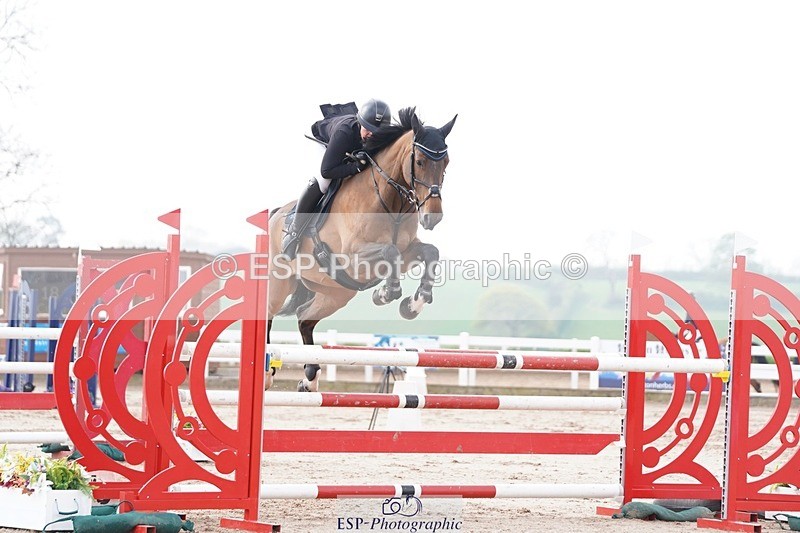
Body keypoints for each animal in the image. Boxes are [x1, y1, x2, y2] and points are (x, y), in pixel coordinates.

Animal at [267, 107, 457, 391]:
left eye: (445, 163)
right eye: (421, 162)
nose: (432, 218)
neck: (392, 202)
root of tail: (277, 214)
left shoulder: (406, 253)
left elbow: (429, 252)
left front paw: (413, 304)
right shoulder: (353, 258)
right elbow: (389, 252)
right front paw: (385, 294)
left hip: (336, 292)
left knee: (304, 317)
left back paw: (310, 378)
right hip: (280, 282)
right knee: (266, 315)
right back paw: (267, 372)